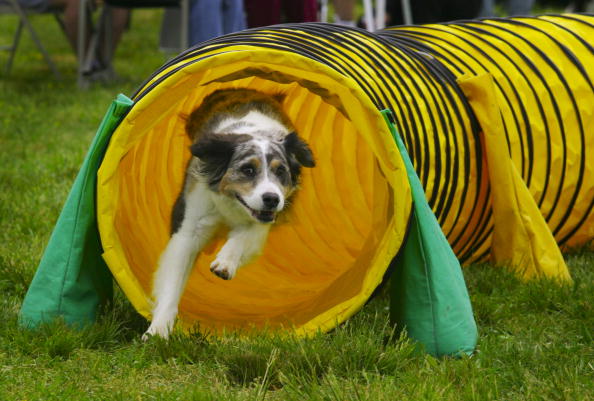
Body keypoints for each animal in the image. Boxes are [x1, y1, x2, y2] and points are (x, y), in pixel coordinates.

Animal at [142, 88, 314, 338]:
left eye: (281, 171)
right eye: (247, 170)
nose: (272, 199)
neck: (231, 203)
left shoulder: (262, 221)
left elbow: (244, 235)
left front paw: (224, 264)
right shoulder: (190, 220)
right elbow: (172, 279)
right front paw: (158, 330)